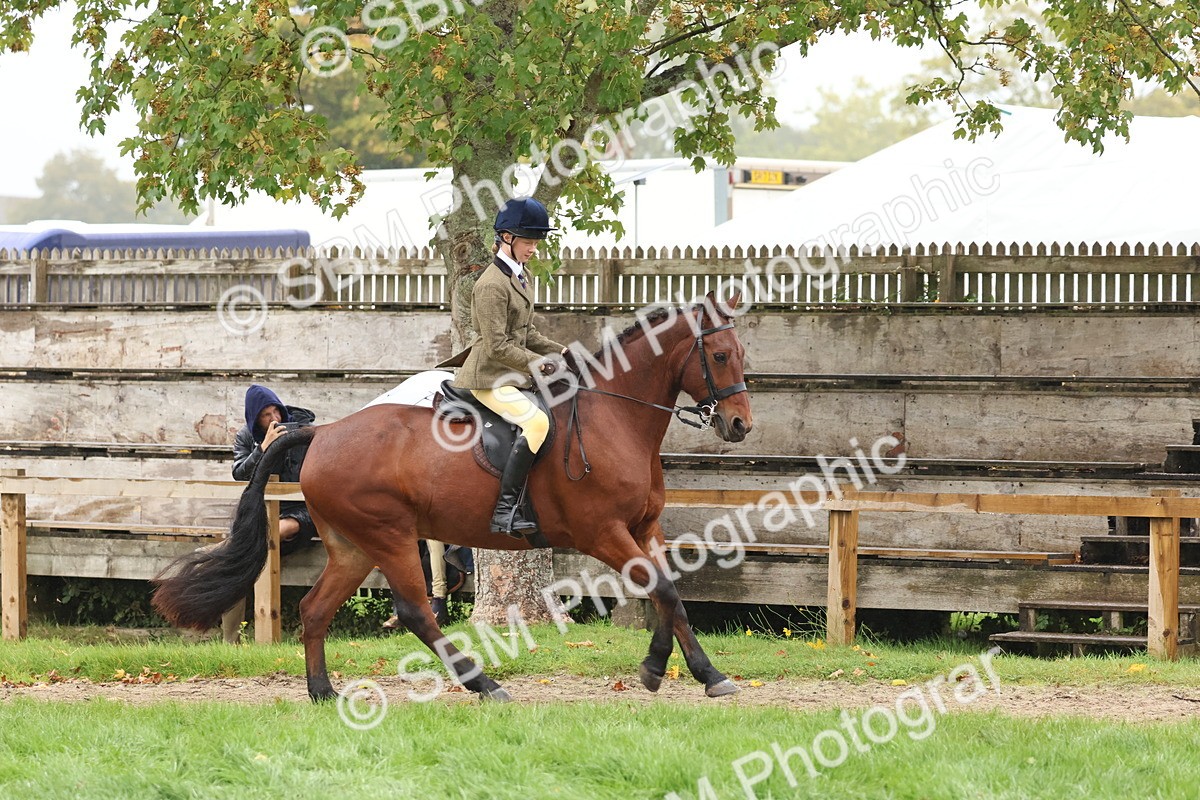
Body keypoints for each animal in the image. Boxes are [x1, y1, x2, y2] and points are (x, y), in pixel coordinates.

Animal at [152, 291, 754, 702]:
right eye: (721, 356)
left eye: (740, 353)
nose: (740, 425)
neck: (615, 417)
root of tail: (324, 432)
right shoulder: (602, 532)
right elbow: (665, 593)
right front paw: (666, 671)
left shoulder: (643, 530)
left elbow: (671, 598)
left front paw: (700, 674)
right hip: (391, 537)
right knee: (416, 612)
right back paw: (483, 684)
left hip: (352, 546)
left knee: (315, 608)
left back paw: (322, 692)